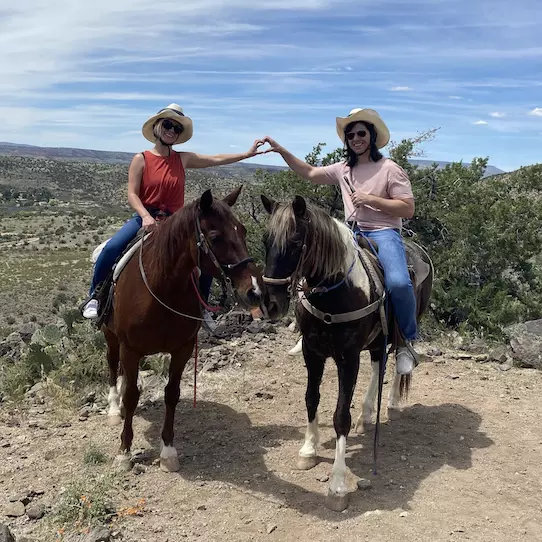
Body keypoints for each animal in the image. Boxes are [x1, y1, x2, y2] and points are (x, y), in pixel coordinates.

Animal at [102, 186, 266, 472]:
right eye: (215, 236)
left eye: (243, 231)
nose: (254, 290)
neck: (161, 288)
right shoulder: (130, 349)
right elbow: (132, 395)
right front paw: (124, 451)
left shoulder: (182, 349)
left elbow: (172, 393)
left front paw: (168, 451)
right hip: (111, 336)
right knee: (112, 366)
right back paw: (114, 409)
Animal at [262, 197, 436, 516]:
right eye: (265, 240)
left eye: (295, 242)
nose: (270, 304)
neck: (337, 292)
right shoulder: (313, 352)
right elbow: (311, 398)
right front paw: (308, 450)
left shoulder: (348, 358)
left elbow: (341, 415)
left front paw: (338, 485)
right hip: (377, 340)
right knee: (379, 365)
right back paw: (368, 414)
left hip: (402, 327)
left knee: (396, 362)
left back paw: (391, 403)